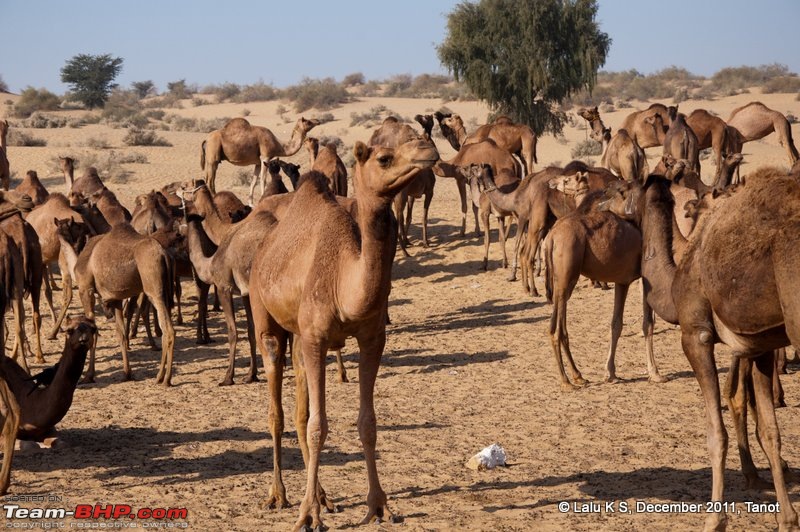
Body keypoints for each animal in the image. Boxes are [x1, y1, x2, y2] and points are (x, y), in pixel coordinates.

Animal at [248, 139, 438, 528]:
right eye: (384, 157)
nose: (429, 149)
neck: (343, 282)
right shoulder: (316, 339)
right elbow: (318, 426)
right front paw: (308, 516)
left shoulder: (371, 339)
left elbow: (366, 423)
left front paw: (379, 506)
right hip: (266, 318)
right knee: (277, 410)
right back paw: (279, 496)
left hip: (299, 338)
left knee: (299, 409)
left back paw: (323, 495)